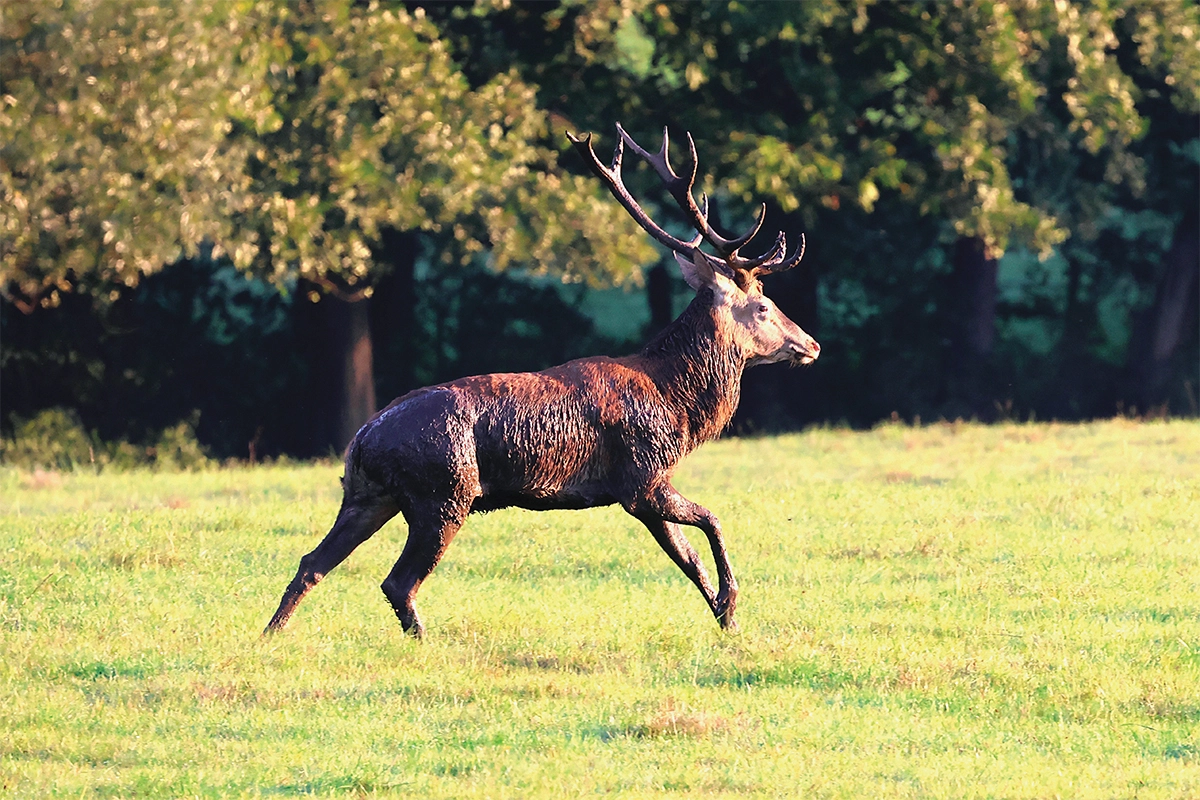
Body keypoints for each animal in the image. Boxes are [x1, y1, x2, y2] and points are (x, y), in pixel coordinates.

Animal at [264, 123, 820, 638]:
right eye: (764, 306)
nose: (811, 344)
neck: (676, 405)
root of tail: (360, 440)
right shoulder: (641, 476)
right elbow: (712, 520)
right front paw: (732, 606)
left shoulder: (639, 490)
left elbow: (690, 560)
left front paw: (728, 622)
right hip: (443, 493)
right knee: (397, 581)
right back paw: (423, 643)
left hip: (368, 496)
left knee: (312, 563)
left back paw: (271, 634)